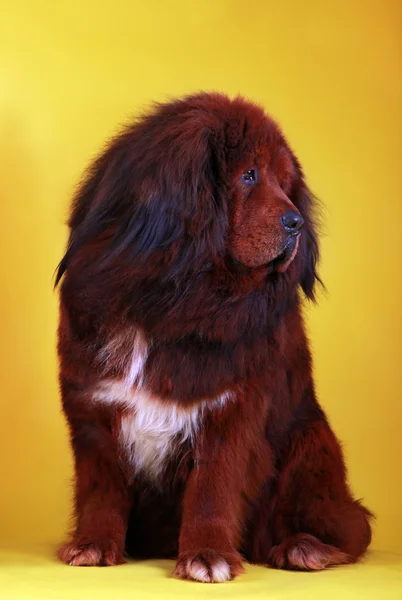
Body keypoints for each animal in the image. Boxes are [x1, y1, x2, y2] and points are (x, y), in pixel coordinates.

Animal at [55, 92, 372, 580]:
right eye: (249, 174)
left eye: (286, 184)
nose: (296, 221)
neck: (177, 296)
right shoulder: (93, 411)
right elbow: (99, 491)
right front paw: (92, 545)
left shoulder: (230, 411)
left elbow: (212, 491)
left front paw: (207, 556)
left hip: (310, 441)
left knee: (351, 529)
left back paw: (305, 549)